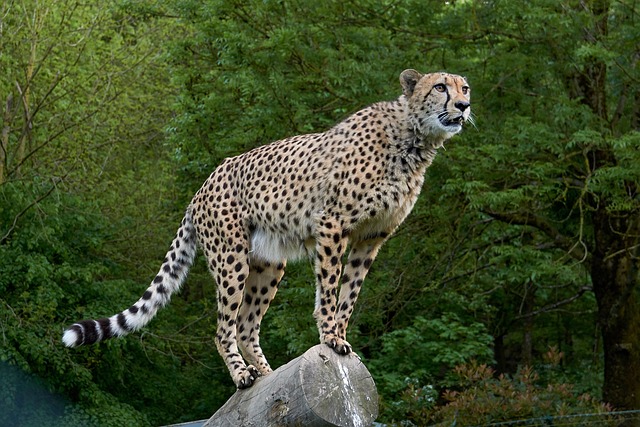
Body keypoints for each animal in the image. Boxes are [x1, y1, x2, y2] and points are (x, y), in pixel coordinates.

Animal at [63, 69, 472, 389]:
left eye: (464, 88)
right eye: (440, 87)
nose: (464, 107)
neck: (413, 139)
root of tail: (202, 186)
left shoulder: (370, 238)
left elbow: (349, 293)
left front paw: (339, 336)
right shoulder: (333, 224)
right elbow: (329, 288)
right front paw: (329, 336)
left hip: (269, 262)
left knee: (246, 325)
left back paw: (268, 373)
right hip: (231, 257)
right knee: (224, 328)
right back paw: (243, 375)